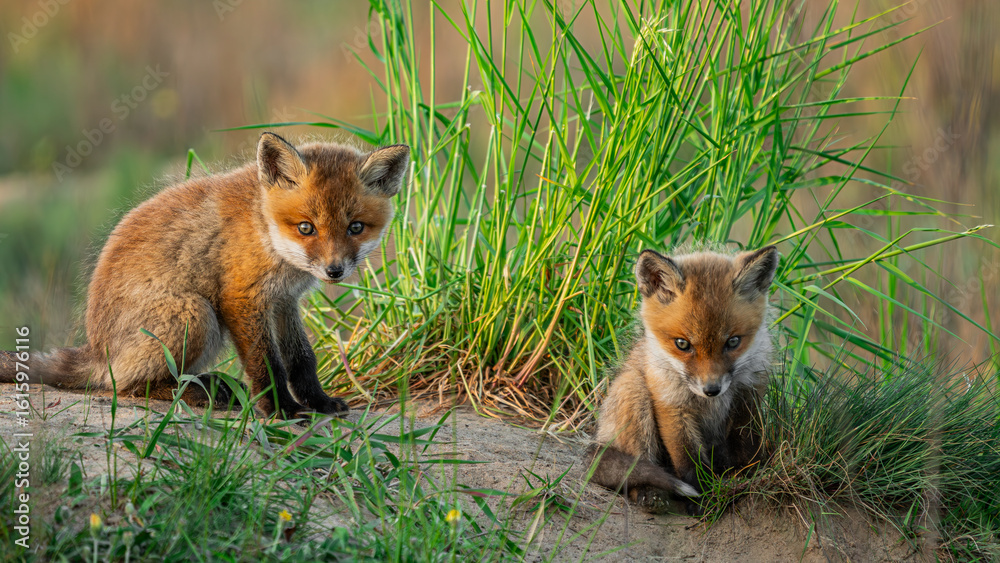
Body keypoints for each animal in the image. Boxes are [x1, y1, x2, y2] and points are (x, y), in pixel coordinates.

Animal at [0, 132, 409, 418]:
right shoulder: (243, 298)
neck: (265, 229)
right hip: (196, 314)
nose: (334, 270)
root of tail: (97, 349)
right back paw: (196, 393)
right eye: (306, 228)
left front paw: (318, 401)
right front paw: (281, 410)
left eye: (356, 227)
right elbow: (267, 363)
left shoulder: (282, 301)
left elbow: (301, 358)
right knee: (123, 386)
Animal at [586, 246, 779, 514]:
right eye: (682, 344)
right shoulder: (672, 405)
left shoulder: (748, 397)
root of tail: (598, 438)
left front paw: (748, 477)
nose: (712, 389)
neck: (709, 404)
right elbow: (689, 462)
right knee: (633, 474)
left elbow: (746, 447)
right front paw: (704, 498)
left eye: (733, 342)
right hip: (633, 393)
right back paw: (650, 494)